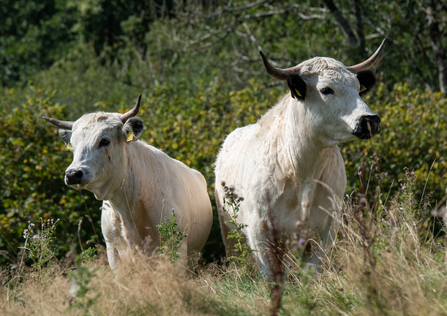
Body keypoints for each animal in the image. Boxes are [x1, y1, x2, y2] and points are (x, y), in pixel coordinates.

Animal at [215, 40, 386, 276]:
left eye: (357, 87)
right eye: (326, 89)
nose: (370, 120)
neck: (302, 171)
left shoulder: (325, 229)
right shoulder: (260, 232)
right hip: (228, 229)